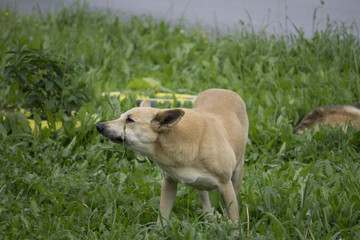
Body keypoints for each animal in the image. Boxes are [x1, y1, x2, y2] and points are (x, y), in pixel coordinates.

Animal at [95, 88, 248, 225]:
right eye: (120, 117)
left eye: (130, 120)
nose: (99, 126)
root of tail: (222, 90)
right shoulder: (169, 183)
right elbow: (162, 217)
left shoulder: (226, 186)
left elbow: (234, 218)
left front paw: (233, 232)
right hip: (201, 186)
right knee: (205, 201)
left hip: (237, 175)